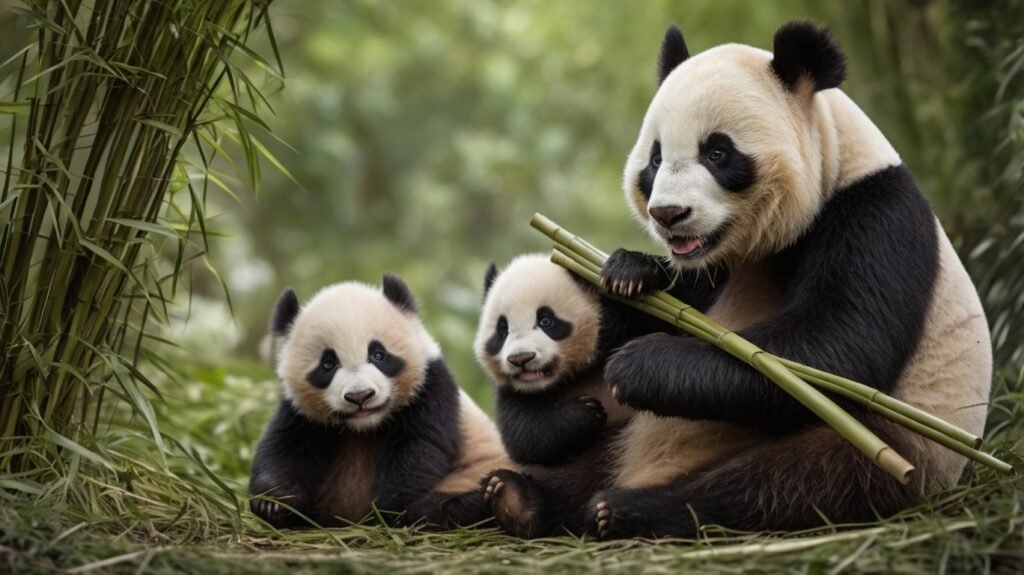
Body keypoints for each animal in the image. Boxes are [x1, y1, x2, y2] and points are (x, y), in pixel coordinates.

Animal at [593, 21, 991, 536]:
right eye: (655, 160)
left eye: (717, 152)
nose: (669, 214)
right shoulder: (714, 261)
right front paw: (630, 273)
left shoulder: (876, 215)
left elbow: (834, 348)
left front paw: (637, 365)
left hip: (898, 450)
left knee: (787, 485)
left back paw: (629, 509)